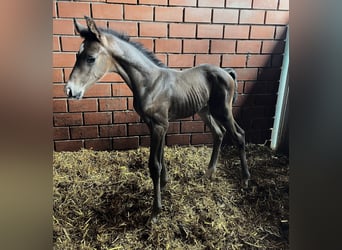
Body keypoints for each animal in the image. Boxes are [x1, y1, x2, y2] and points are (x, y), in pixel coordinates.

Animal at [65, 16, 251, 222]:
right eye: (76, 55)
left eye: (91, 58)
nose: (70, 90)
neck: (149, 82)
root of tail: (226, 71)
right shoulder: (154, 124)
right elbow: (161, 156)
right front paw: (164, 184)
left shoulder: (159, 125)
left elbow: (154, 164)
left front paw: (155, 211)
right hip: (205, 110)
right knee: (219, 133)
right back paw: (209, 173)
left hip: (223, 111)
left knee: (239, 135)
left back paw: (245, 180)